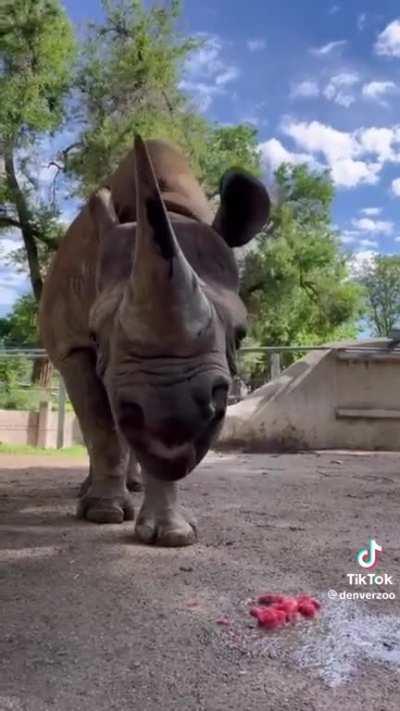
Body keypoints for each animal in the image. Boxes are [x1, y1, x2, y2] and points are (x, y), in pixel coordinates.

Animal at [39, 136, 270, 546]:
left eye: (241, 334)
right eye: (96, 333)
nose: (174, 416)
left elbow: (154, 451)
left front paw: (171, 533)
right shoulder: (72, 345)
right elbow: (100, 426)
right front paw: (102, 514)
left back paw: (131, 486)